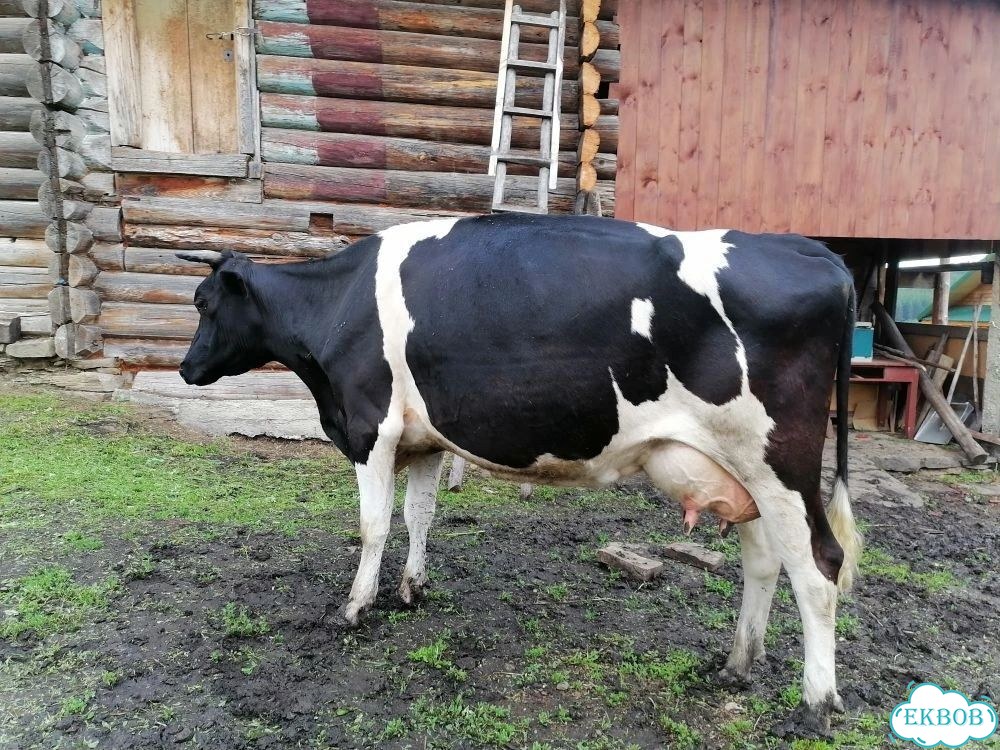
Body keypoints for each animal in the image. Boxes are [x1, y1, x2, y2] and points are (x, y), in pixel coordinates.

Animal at [177, 213, 861, 737]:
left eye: (204, 303)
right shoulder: (423, 440)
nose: (186, 368)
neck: (338, 307)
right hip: (742, 470)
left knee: (818, 567)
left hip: (780, 461)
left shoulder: (372, 428)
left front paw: (355, 606)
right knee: (764, 560)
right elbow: (418, 516)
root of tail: (810, 249)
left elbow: (373, 525)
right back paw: (738, 664)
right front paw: (412, 587)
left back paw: (817, 703)